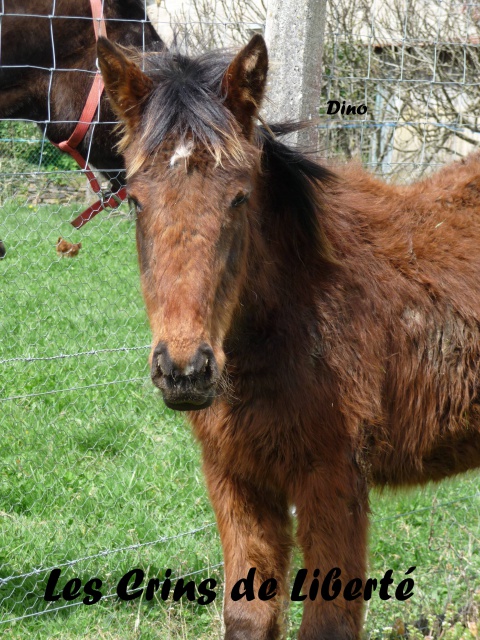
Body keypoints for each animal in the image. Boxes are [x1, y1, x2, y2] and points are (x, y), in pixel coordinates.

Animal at [95, 36, 480, 640]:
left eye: (239, 198)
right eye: (136, 199)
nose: (184, 371)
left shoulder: (334, 480)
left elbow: (329, 624)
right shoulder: (236, 479)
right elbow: (248, 617)